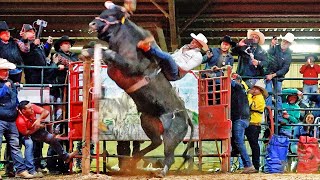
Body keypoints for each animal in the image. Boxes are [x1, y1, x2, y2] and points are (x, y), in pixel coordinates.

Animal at [81, 3, 194, 177]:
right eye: (103, 12)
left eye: (111, 15)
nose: (92, 24)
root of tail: (186, 116)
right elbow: (99, 48)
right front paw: (88, 48)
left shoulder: (130, 65)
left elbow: (110, 54)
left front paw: (88, 51)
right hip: (147, 121)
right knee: (156, 141)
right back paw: (136, 158)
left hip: (172, 133)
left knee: (169, 154)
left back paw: (161, 171)